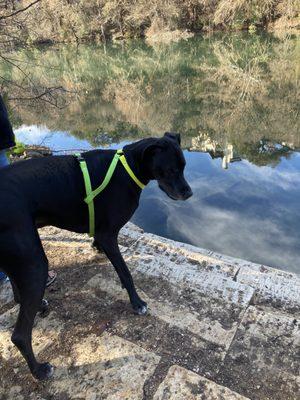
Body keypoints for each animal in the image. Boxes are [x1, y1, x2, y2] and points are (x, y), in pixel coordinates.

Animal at [0, 133, 192, 380]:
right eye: (170, 170)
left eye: (184, 166)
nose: (189, 193)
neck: (127, 167)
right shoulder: (108, 235)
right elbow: (126, 273)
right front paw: (137, 303)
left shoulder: (103, 235)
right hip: (35, 264)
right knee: (19, 335)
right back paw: (40, 370)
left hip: (20, 258)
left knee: (17, 291)